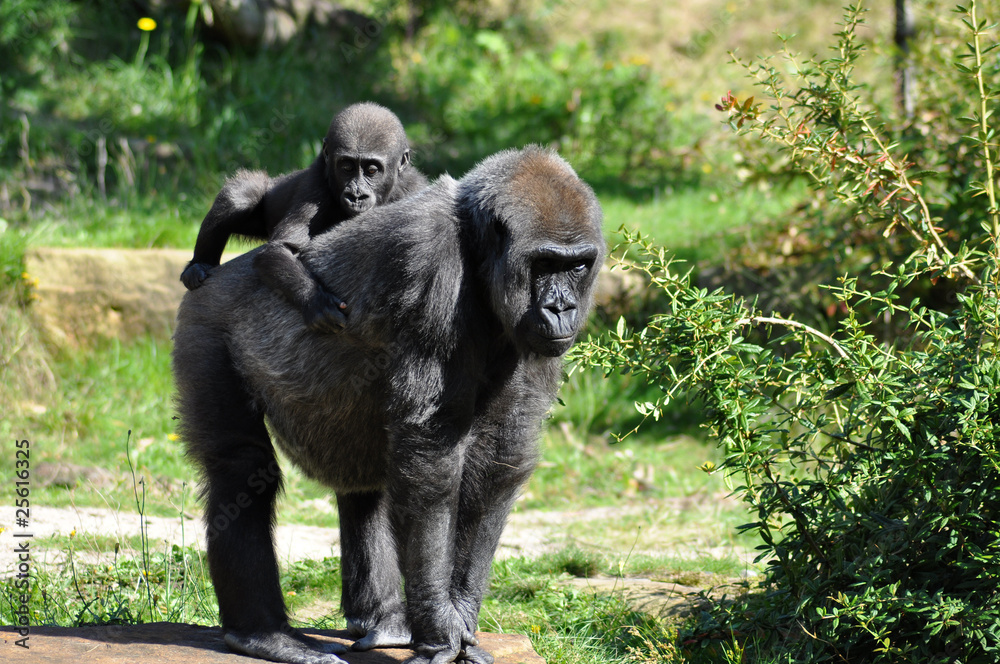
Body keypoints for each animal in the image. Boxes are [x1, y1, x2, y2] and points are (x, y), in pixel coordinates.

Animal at [172, 146, 605, 664]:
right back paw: (263, 634)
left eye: (577, 266)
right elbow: (430, 467)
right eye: (544, 263)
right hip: (204, 319)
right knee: (242, 469)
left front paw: (458, 612)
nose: (563, 308)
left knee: (364, 482)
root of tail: (213, 275)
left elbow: (499, 463)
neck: (476, 247)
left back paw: (385, 624)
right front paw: (440, 624)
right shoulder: (430, 269)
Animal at [180, 102, 429, 332]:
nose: (356, 196)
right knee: (238, 198)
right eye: (347, 167)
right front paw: (315, 301)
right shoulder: (315, 186)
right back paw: (198, 264)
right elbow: (280, 249)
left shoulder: (414, 189)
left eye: (372, 170)